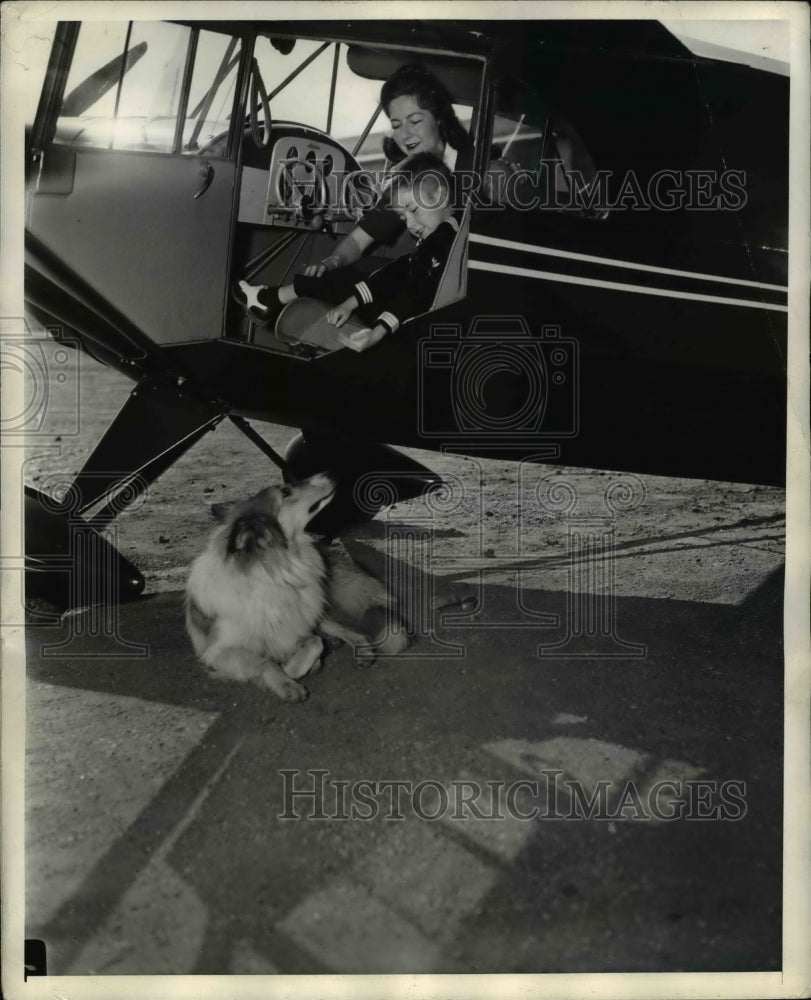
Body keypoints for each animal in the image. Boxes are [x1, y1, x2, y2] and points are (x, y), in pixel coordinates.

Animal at [187, 472, 410, 700]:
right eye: (285, 492)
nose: (328, 473)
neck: (276, 573)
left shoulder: (297, 627)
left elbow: (313, 643)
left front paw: (292, 668)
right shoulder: (217, 652)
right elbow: (265, 662)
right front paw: (287, 683)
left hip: (314, 610)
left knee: (351, 632)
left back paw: (358, 649)